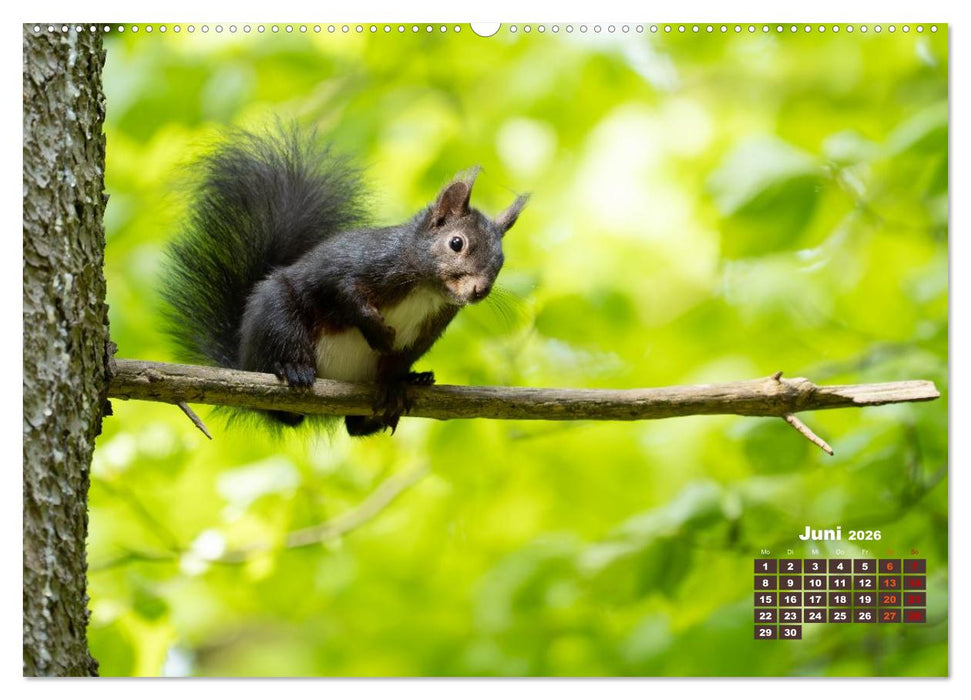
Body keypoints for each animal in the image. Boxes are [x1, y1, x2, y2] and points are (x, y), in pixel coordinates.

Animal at [161, 125, 527, 436]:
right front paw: (377, 331)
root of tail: (241, 360)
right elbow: (344, 295)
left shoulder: (427, 330)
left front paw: (397, 383)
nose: (480, 290)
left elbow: (399, 357)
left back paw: (406, 388)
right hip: (276, 315)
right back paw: (293, 369)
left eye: (501, 261)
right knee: (283, 392)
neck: (427, 290)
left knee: (354, 427)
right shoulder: (356, 265)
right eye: (456, 243)